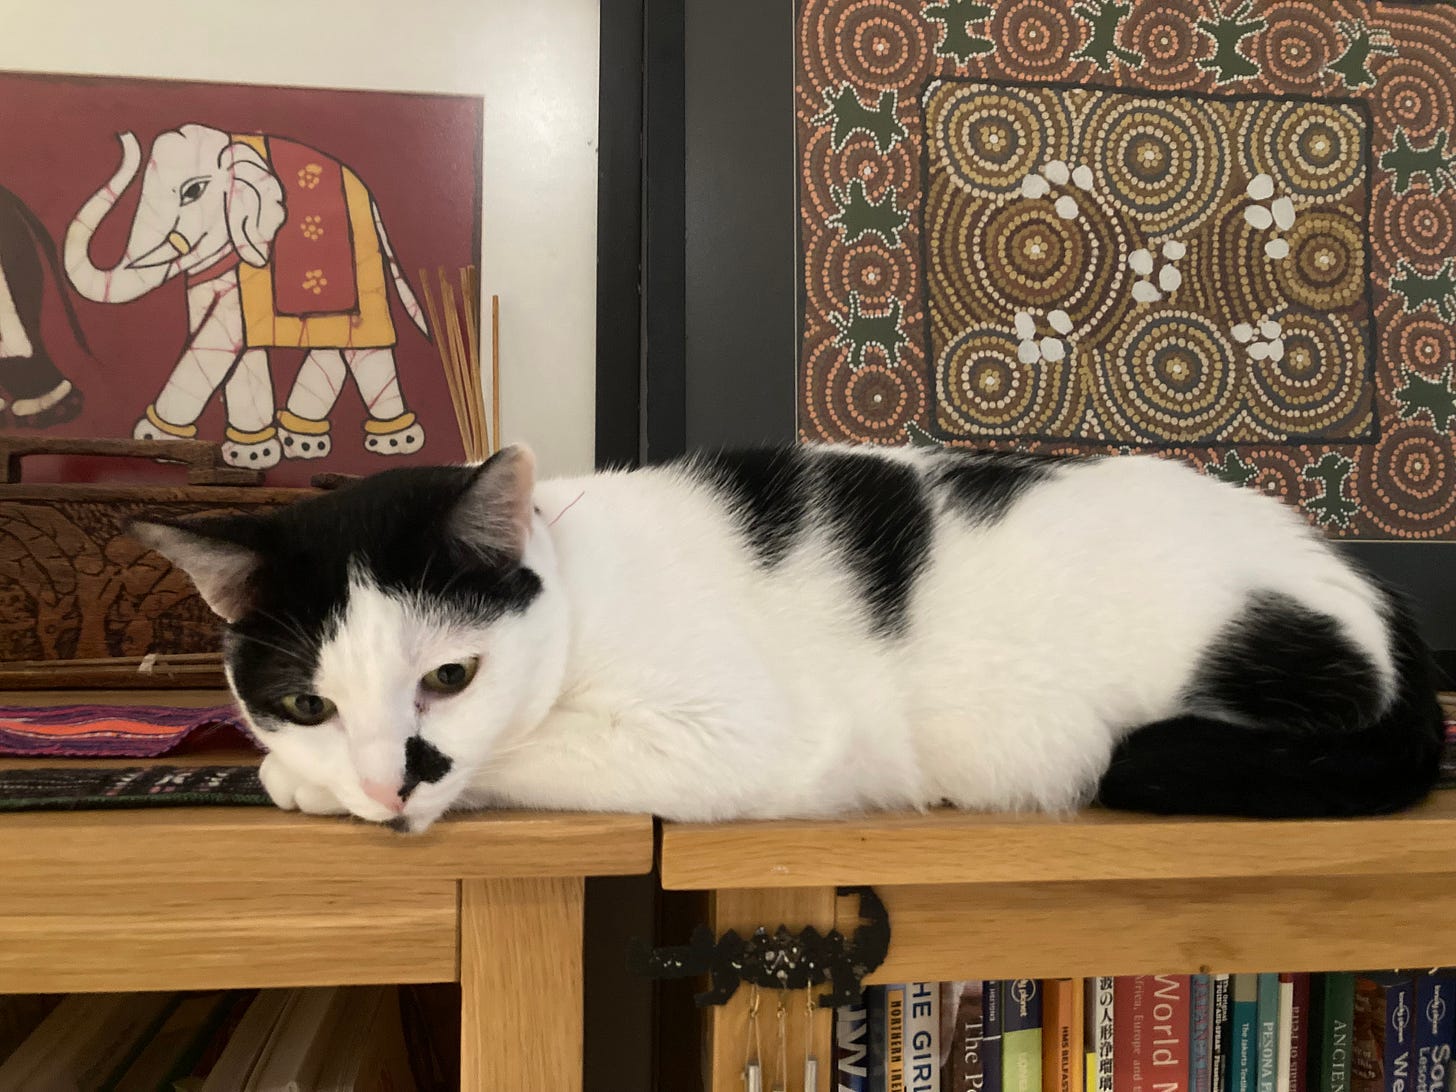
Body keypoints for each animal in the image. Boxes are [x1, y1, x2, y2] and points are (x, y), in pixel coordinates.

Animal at [128, 442, 1444, 827]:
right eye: (308, 700)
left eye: (450, 677)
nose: (380, 785)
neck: (585, 584)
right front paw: (300, 775)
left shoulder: (741, 738)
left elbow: (519, 754)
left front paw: (306, 787)